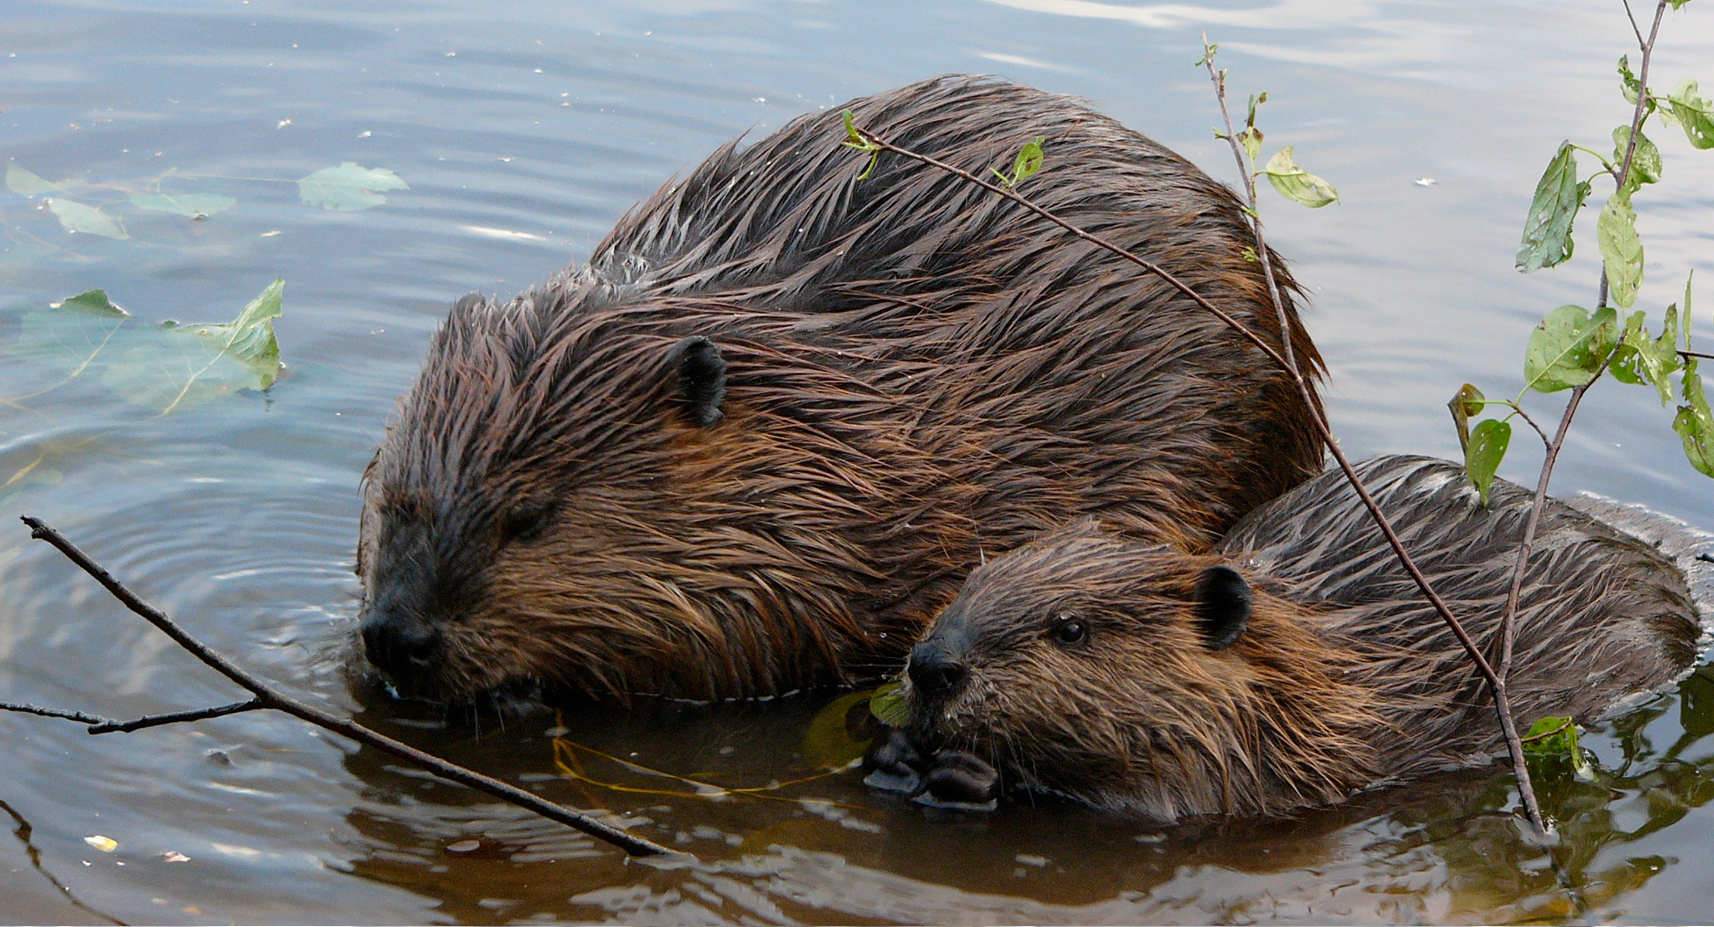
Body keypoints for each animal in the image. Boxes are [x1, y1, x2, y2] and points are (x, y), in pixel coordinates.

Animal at [891, 452, 1707, 815]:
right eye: (965, 587)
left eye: (1070, 627)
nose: (932, 664)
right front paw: (899, 750)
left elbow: (1182, 799)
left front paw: (966, 773)